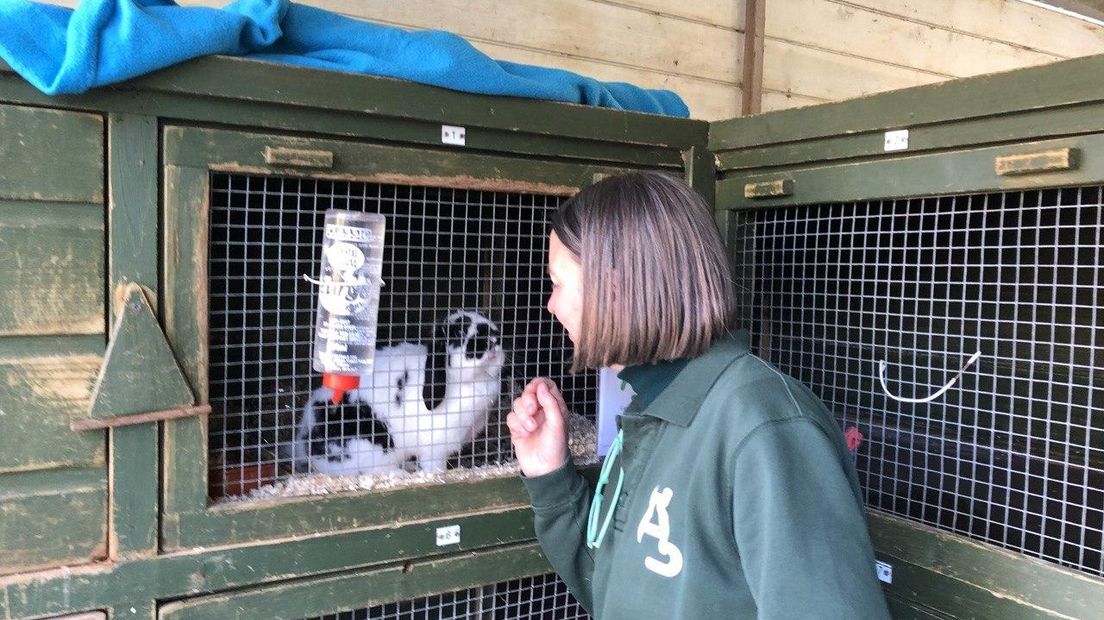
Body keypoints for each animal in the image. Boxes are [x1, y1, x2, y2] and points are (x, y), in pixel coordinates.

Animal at [291, 308, 503, 472]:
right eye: (459, 332)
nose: (494, 337)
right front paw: (436, 475)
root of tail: (304, 443)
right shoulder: (435, 446)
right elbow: (434, 465)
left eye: (485, 317)